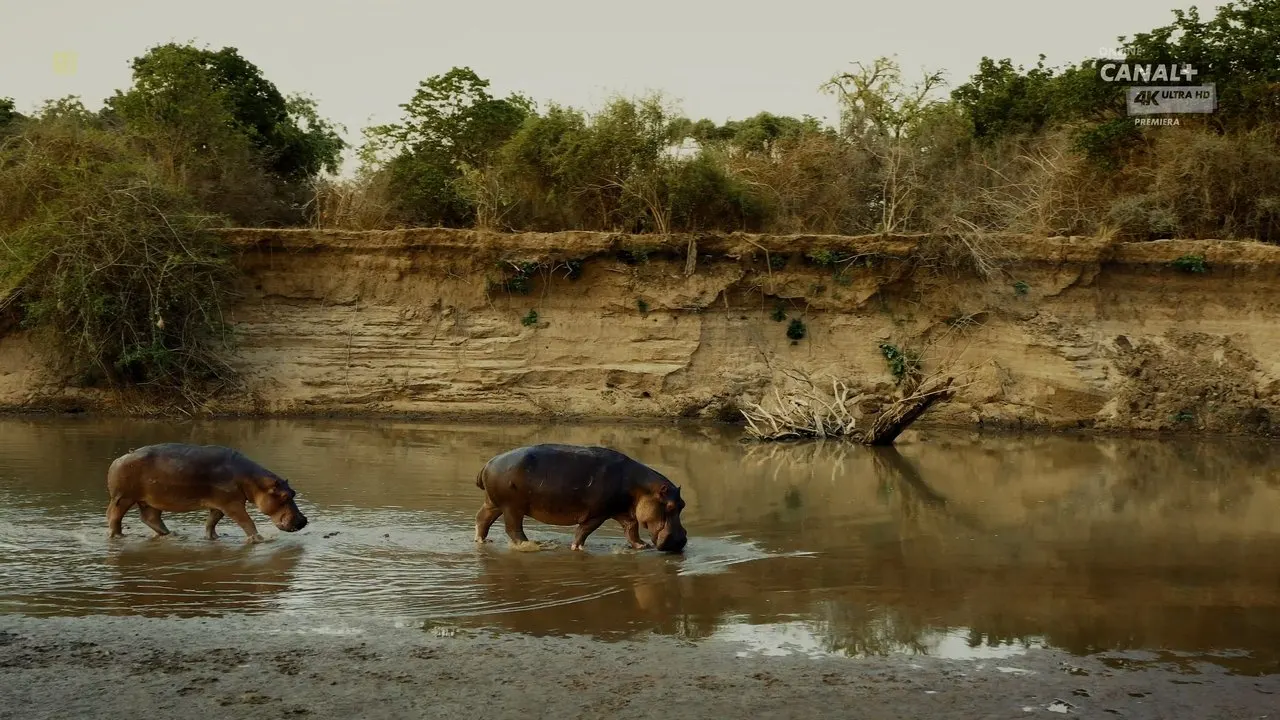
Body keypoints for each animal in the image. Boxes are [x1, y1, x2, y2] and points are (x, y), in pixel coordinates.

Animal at [105, 443, 308, 543]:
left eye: (294, 493)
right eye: (284, 496)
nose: (303, 520)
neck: (252, 480)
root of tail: (118, 459)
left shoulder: (219, 505)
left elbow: (211, 522)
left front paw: (213, 538)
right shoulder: (232, 504)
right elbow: (246, 521)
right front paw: (259, 539)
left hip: (152, 499)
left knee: (150, 517)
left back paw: (171, 534)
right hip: (123, 497)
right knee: (114, 517)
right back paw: (118, 536)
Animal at [473, 443, 688, 553]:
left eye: (682, 504)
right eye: (670, 506)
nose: (681, 540)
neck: (641, 487)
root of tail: (489, 462)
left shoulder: (621, 511)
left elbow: (631, 529)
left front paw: (641, 546)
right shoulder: (598, 513)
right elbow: (584, 530)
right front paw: (577, 548)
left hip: (494, 503)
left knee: (482, 519)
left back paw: (482, 541)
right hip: (512, 507)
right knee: (513, 529)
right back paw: (531, 545)